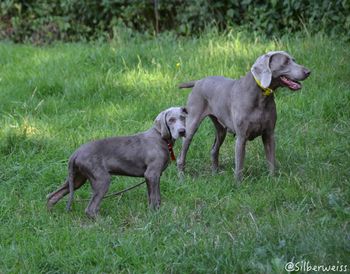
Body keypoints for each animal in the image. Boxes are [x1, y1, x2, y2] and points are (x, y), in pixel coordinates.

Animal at [48, 106, 189, 217]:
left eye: (183, 118)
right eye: (171, 120)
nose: (182, 131)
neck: (160, 137)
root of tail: (75, 153)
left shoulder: (156, 176)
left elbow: (156, 197)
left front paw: (158, 211)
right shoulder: (151, 174)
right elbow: (153, 197)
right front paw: (153, 214)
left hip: (77, 178)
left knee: (52, 196)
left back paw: (50, 215)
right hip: (101, 179)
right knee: (90, 209)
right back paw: (103, 223)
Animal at [179, 50, 310, 181]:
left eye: (294, 60)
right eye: (285, 62)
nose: (308, 72)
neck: (260, 98)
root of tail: (198, 81)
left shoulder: (269, 134)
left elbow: (271, 160)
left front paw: (272, 180)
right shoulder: (241, 137)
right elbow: (239, 165)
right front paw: (238, 183)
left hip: (221, 130)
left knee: (214, 150)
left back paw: (215, 173)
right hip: (192, 124)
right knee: (182, 155)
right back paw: (181, 177)